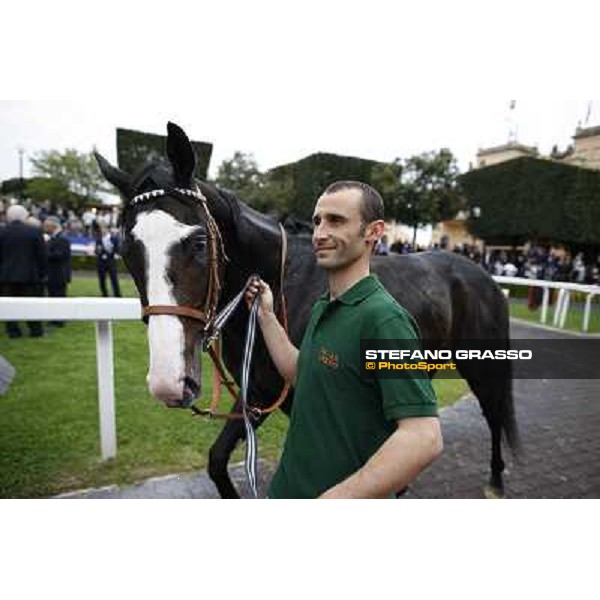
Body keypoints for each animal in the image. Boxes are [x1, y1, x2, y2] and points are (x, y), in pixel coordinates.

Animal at [96, 120, 516, 496]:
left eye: (199, 243)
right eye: (127, 251)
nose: (168, 383)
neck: (283, 281)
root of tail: (483, 275)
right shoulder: (257, 393)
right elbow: (216, 461)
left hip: (481, 365)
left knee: (493, 412)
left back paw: (496, 480)